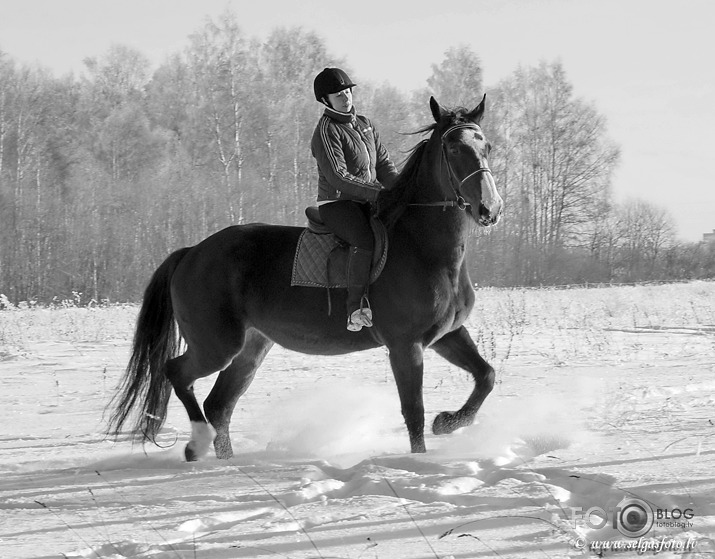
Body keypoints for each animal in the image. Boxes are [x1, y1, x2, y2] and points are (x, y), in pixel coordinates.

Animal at [109, 95, 506, 464]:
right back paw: (198, 444)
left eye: (485, 146)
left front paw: (449, 421)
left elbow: (486, 376)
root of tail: (191, 252)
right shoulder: (405, 346)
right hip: (217, 345)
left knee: (218, 405)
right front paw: (422, 453)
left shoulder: (447, 334)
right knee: (177, 373)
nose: (490, 209)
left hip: (251, 347)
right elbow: (415, 413)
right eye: (453, 148)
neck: (421, 246)